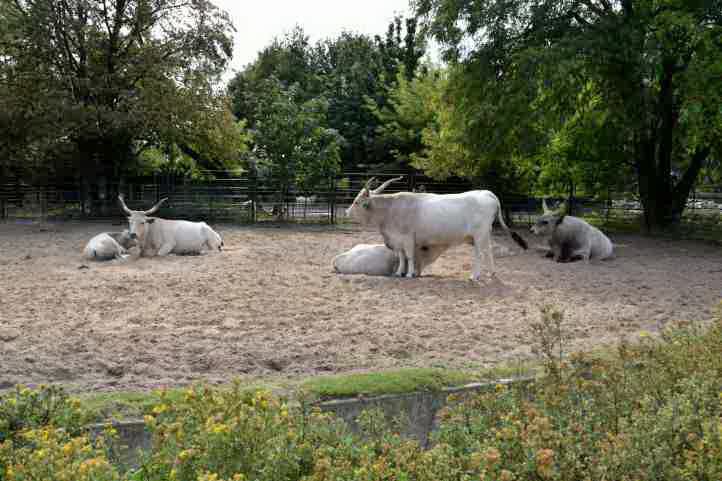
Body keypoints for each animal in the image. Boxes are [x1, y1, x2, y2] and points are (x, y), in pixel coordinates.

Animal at [344, 176, 524, 280]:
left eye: (356, 202)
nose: (346, 212)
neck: (392, 208)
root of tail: (487, 194)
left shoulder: (408, 238)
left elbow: (409, 256)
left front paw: (408, 274)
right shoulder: (398, 240)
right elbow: (401, 257)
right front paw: (398, 273)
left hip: (479, 235)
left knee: (479, 254)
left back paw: (474, 276)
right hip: (485, 234)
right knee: (489, 251)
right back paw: (491, 273)